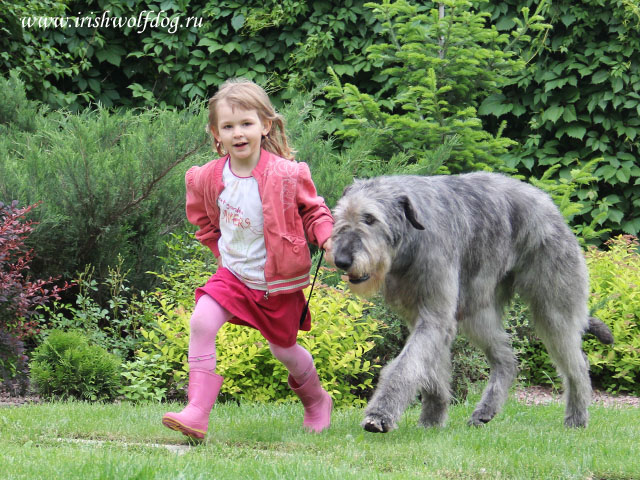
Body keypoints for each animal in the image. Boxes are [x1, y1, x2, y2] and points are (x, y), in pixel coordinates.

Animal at [330, 172, 616, 432]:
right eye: (339, 216)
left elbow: (407, 365)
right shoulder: (424, 317)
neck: (409, 243)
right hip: (477, 312)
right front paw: (432, 417)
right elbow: (431, 368)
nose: (341, 259)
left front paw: (381, 413)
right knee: (507, 359)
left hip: (553, 308)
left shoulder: (435, 315)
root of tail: (549, 204)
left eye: (370, 218)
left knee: (577, 363)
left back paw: (577, 417)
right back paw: (486, 409)